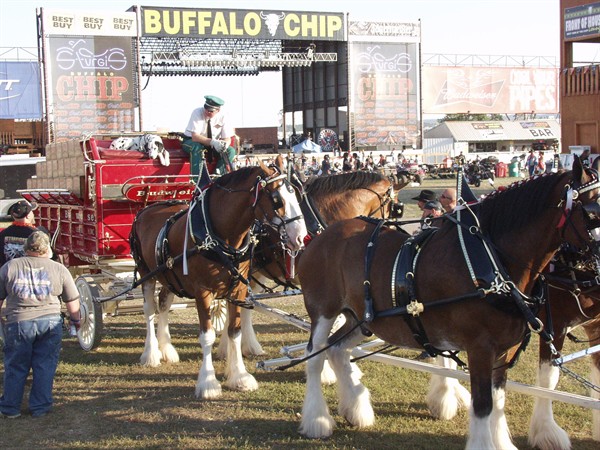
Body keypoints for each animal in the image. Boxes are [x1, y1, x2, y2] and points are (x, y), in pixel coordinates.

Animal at [132, 156, 310, 400]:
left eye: (297, 194)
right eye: (277, 200)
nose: (301, 237)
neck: (218, 237)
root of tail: (146, 209)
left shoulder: (238, 289)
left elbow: (234, 332)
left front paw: (239, 377)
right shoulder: (202, 292)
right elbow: (207, 336)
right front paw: (208, 383)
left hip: (169, 276)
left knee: (164, 305)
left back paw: (166, 349)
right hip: (146, 274)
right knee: (149, 309)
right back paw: (151, 354)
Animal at [298, 156, 600, 448]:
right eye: (592, 212)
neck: (492, 261)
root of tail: (321, 236)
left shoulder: (506, 349)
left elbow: (499, 399)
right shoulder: (480, 347)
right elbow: (483, 404)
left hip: (362, 319)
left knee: (338, 350)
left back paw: (356, 408)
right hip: (324, 311)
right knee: (316, 356)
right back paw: (317, 420)